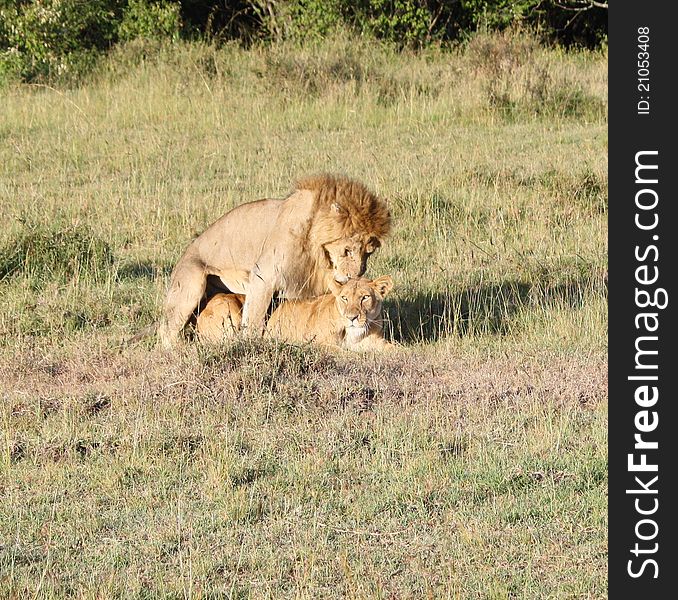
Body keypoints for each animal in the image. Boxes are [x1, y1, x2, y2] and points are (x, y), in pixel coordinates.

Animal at [159, 173, 390, 346]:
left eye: (368, 253)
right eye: (347, 250)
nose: (355, 276)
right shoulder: (263, 277)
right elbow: (253, 320)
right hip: (193, 283)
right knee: (165, 333)